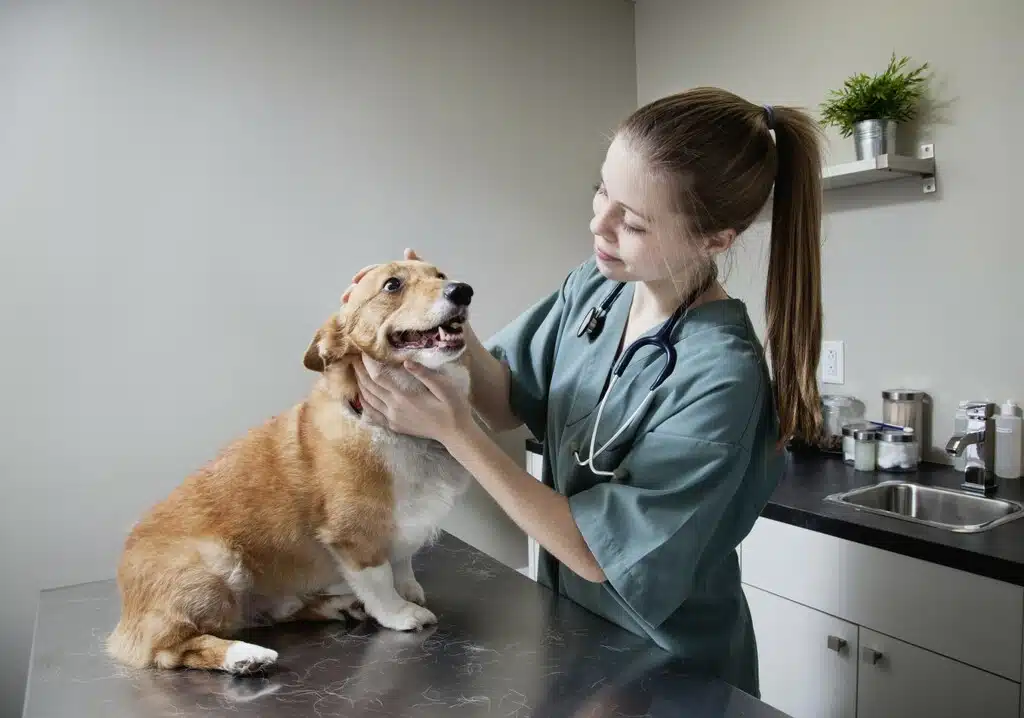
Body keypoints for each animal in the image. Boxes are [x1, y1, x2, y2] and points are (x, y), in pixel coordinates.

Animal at [105, 258, 481, 671]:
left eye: (440, 275)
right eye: (392, 285)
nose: (463, 291)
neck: (394, 428)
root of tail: (125, 618)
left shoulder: (403, 526)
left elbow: (403, 562)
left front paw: (408, 589)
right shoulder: (355, 537)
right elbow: (380, 581)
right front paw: (402, 613)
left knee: (276, 611)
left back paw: (336, 605)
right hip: (217, 564)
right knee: (172, 648)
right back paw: (245, 657)